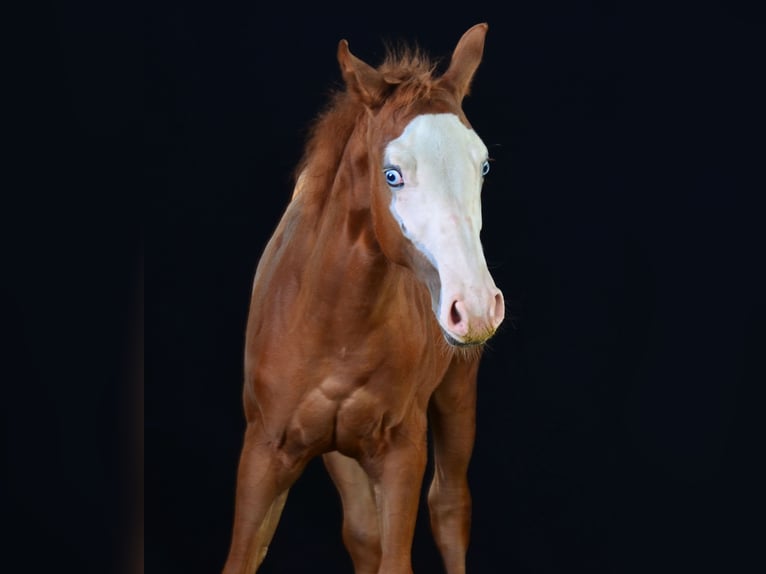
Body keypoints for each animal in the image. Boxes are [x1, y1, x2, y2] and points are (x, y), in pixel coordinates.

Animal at [223, 23, 504, 574]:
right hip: (339, 449)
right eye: (391, 174)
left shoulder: (401, 452)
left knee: (449, 506)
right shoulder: (264, 450)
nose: (477, 306)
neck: (334, 321)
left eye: (483, 166)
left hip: (457, 390)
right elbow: (245, 554)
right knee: (362, 533)